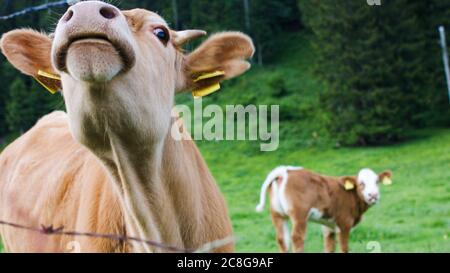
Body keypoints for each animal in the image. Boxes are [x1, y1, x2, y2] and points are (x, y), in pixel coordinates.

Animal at [255, 166, 392, 253]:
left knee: (282, 240)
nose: (373, 195)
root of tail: (285, 171)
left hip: (277, 214)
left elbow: (329, 246)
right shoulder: (344, 223)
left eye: (377, 182)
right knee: (297, 238)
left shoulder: (328, 225)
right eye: (361, 183)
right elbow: (344, 247)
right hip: (299, 216)